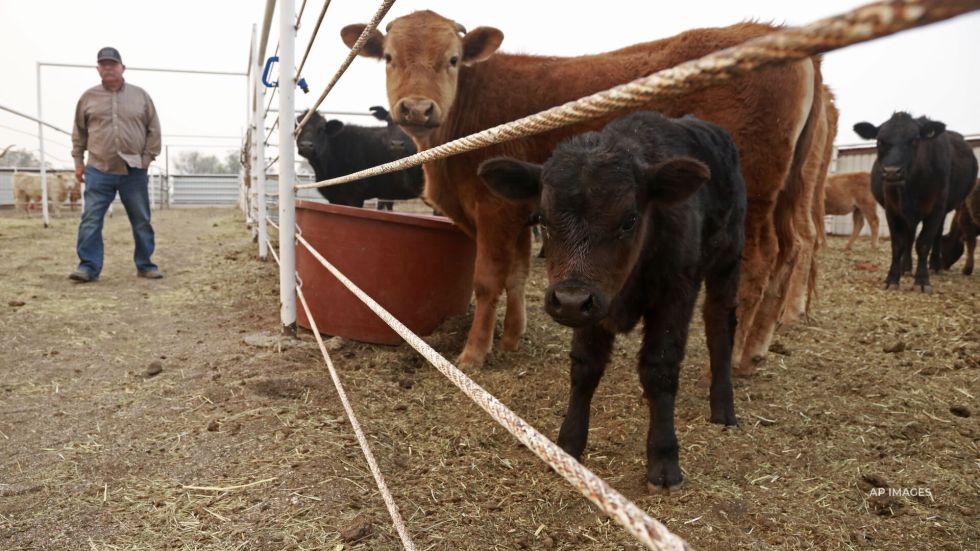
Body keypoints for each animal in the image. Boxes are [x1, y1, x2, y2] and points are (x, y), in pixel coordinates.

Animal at [342, 9, 828, 376]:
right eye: (388, 57)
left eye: (454, 59)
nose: (417, 108)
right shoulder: (523, 210)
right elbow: (518, 274)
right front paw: (512, 339)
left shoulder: (494, 209)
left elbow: (487, 279)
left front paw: (473, 354)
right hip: (787, 191)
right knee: (791, 249)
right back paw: (759, 347)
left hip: (755, 192)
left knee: (760, 261)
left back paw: (738, 356)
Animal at [478, 112, 748, 492]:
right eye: (542, 218)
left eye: (629, 219)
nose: (570, 300)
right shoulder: (592, 310)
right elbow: (585, 367)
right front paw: (568, 446)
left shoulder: (675, 293)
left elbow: (660, 368)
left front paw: (664, 461)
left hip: (727, 261)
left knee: (719, 324)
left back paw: (723, 406)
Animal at [852, 112, 976, 294]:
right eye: (880, 140)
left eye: (915, 140)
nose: (892, 172)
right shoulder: (892, 209)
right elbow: (898, 244)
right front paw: (892, 278)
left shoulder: (936, 208)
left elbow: (924, 243)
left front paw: (922, 280)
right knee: (909, 237)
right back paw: (906, 268)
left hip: (942, 210)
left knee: (936, 235)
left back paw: (934, 265)